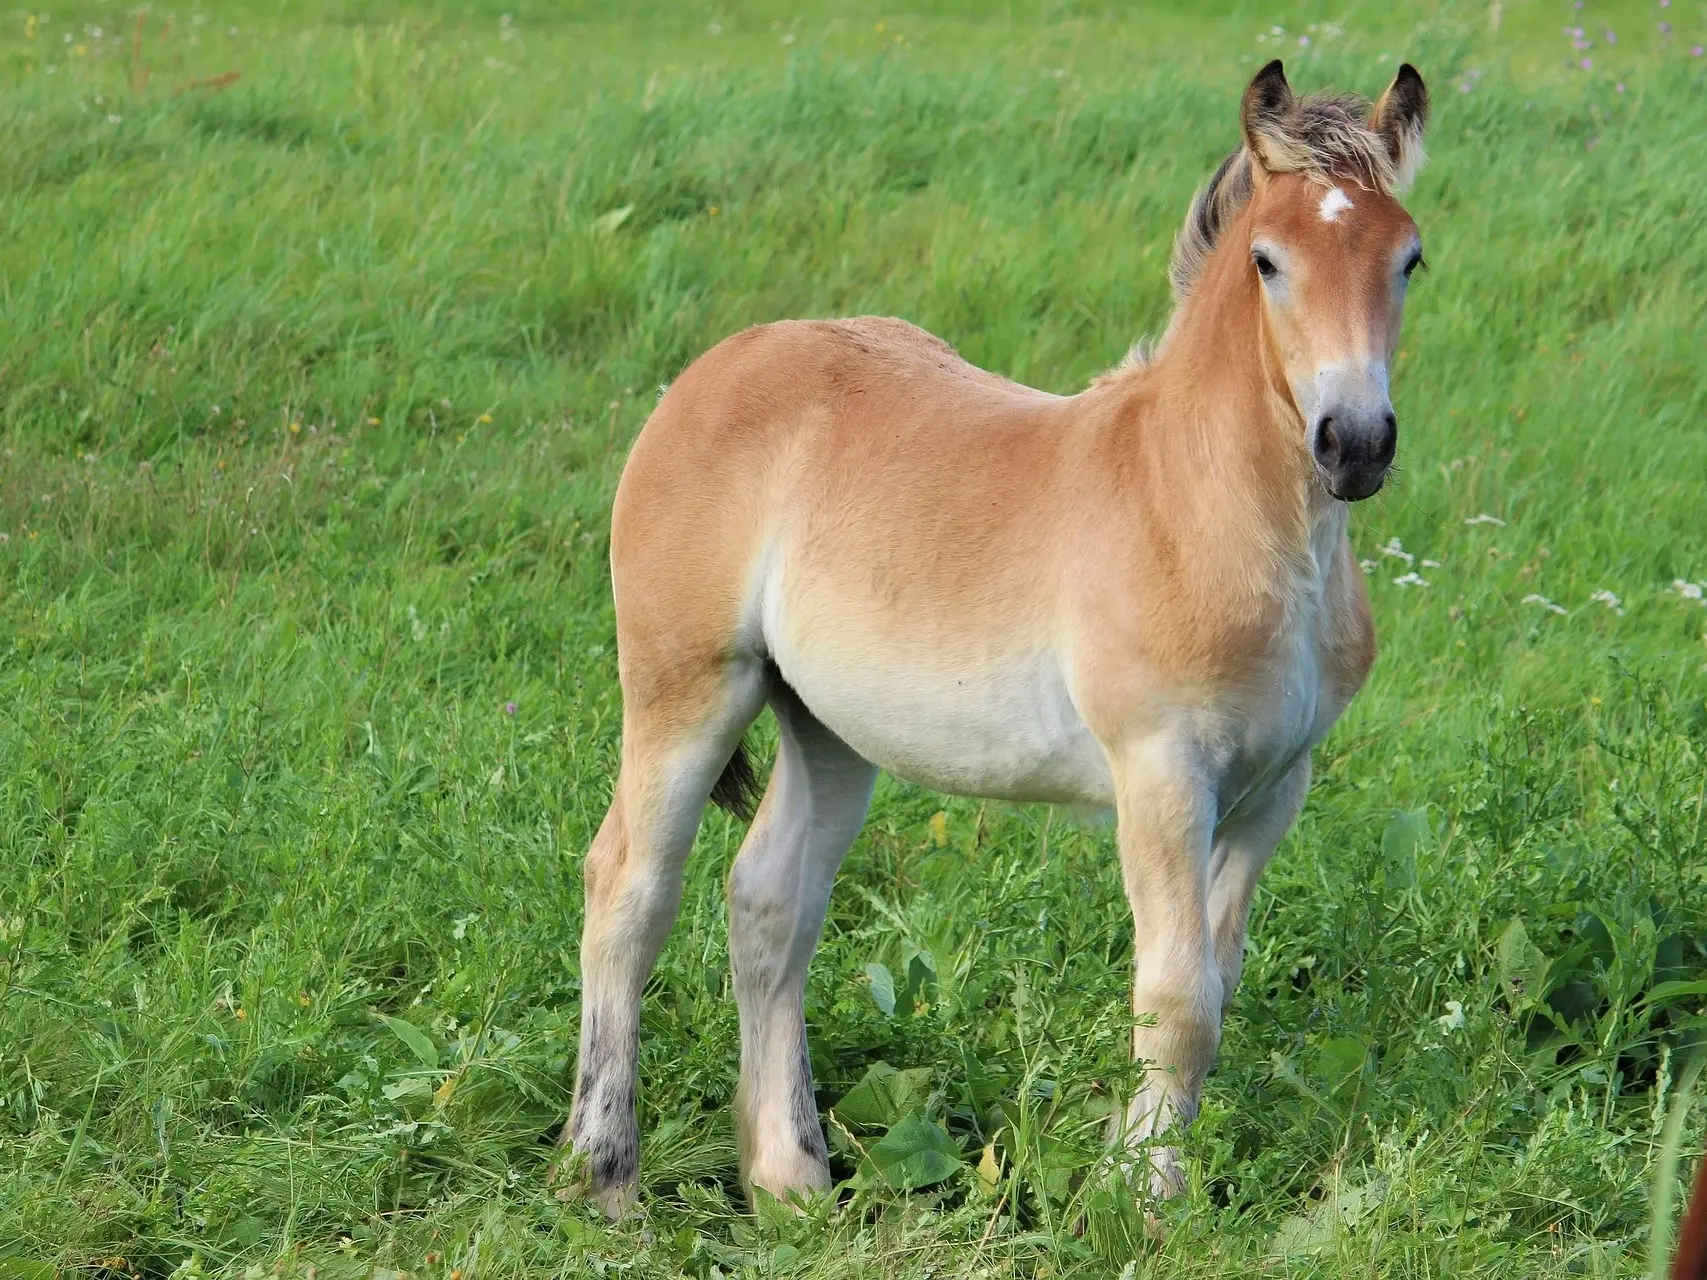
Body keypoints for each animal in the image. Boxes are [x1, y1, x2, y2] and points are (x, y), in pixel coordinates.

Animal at [559, 60, 1427, 1215]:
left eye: (1409, 257)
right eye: (1267, 260)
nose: (1356, 444)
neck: (1208, 507)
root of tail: (718, 365)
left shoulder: (1276, 786)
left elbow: (1218, 978)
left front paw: (1141, 1172)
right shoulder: (1160, 774)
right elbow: (1178, 997)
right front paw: (1141, 1200)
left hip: (830, 727)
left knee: (771, 903)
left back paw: (792, 1181)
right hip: (684, 687)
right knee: (627, 890)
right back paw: (606, 1176)